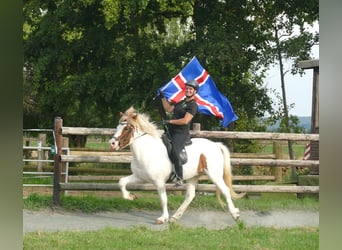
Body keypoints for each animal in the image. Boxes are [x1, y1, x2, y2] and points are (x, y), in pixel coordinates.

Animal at [108, 106, 244, 224]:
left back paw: (235, 214)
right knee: (190, 196)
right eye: (117, 127)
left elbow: (163, 199)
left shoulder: (159, 182)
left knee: (225, 190)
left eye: (126, 128)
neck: (146, 151)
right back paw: (175, 217)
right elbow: (121, 182)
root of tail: (216, 145)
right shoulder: (140, 177)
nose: (112, 143)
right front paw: (130, 196)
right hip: (193, 176)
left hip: (214, 175)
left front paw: (163, 218)